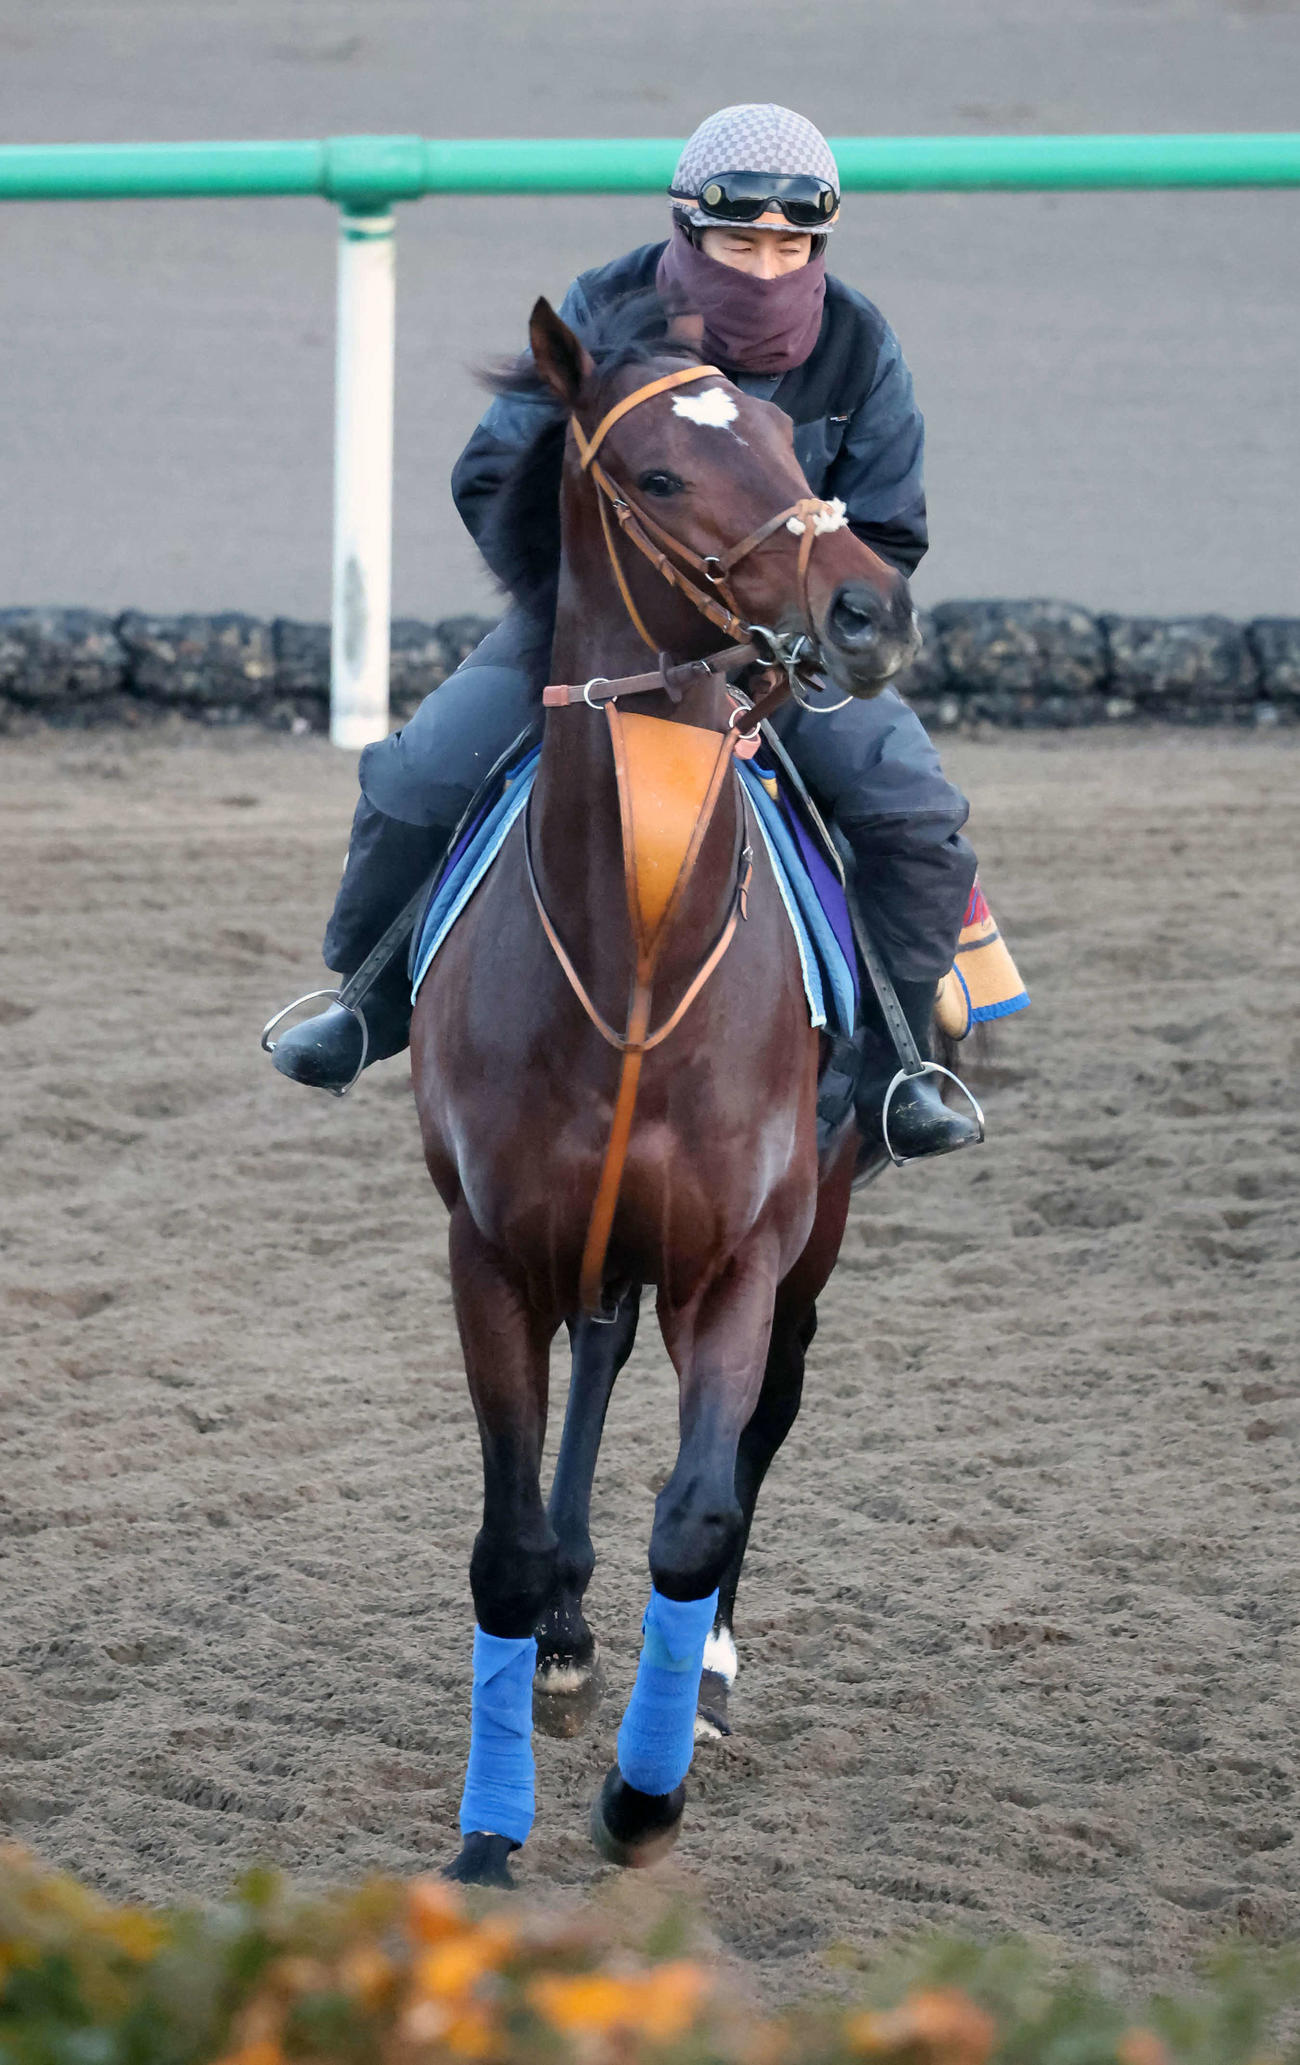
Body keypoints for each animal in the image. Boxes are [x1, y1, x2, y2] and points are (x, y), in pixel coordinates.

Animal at [409, 294, 919, 1885]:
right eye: (654, 475)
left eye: (792, 448)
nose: (869, 612)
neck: (635, 960)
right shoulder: (490, 1246)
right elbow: (506, 1541)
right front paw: (490, 1831)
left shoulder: (742, 1253)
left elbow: (696, 1511)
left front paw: (643, 1798)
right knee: (598, 1356)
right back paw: (578, 1635)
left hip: (817, 1227)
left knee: (761, 1426)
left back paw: (699, 1674)